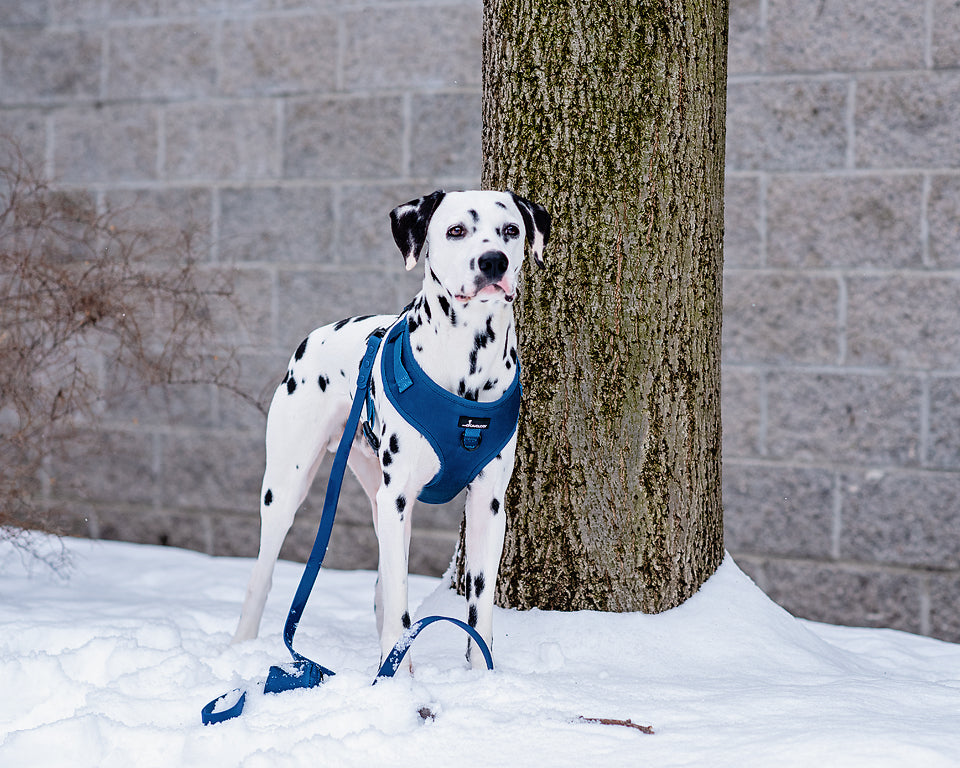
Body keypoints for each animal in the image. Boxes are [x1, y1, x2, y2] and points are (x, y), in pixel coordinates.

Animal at [231, 189, 548, 668]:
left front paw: (481, 674)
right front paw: (399, 678)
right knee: (262, 575)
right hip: (287, 488)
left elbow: (479, 603)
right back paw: (241, 649)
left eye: (511, 230)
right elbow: (401, 598)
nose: (494, 261)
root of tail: (313, 336)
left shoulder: (488, 504)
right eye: (456, 230)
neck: (468, 361)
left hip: (377, 492)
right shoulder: (397, 495)